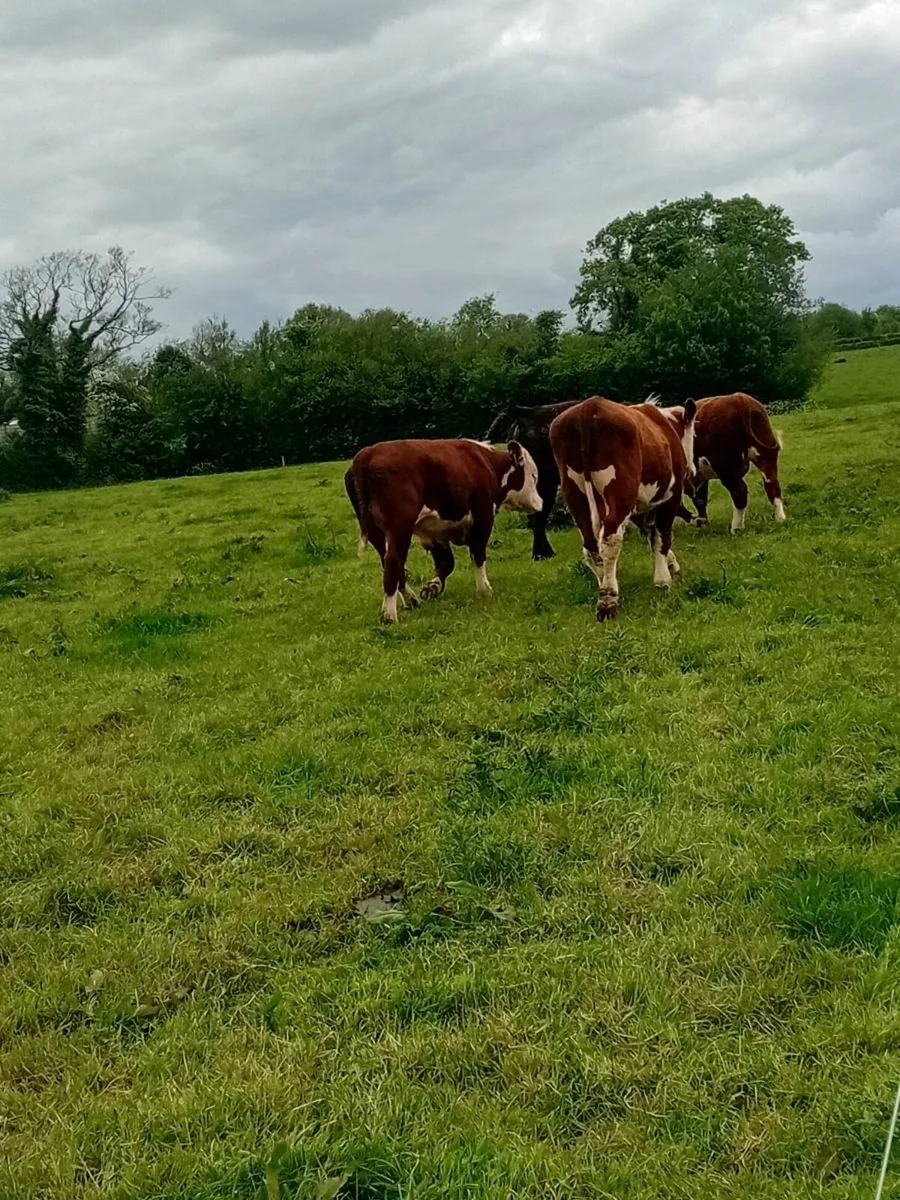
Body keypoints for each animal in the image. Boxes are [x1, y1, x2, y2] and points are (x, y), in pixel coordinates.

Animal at [345, 438, 542, 622]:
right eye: (533, 476)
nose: (540, 503)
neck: (486, 464)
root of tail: (367, 453)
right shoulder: (483, 518)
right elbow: (478, 554)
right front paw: (484, 590)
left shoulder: (435, 532)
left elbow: (447, 563)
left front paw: (432, 587)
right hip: (399, 528)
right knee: (393, 562)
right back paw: (389, 615)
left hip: (375, 532)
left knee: (390, 563)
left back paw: (411, 600)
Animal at [549, 395, 696, 621]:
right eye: (694, 435)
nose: (693, 471)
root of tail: (587, 408)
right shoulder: (670, 496)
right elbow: (662, 536)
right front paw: (663, 580)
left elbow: (652, 534)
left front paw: (670, 564)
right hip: (620, 493)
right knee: (610, 539)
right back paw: (608, 599)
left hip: (575, 495)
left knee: (591, 546)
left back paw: (605, 584)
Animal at [677, 392, 785, 533]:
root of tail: (738, 398)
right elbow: (700, 500)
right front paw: (703, 523)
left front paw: (698, 521)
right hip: (766, 455)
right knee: (772, 484)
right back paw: (780, 518)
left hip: (724, 466)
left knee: (739, 491)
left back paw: (736, 528)